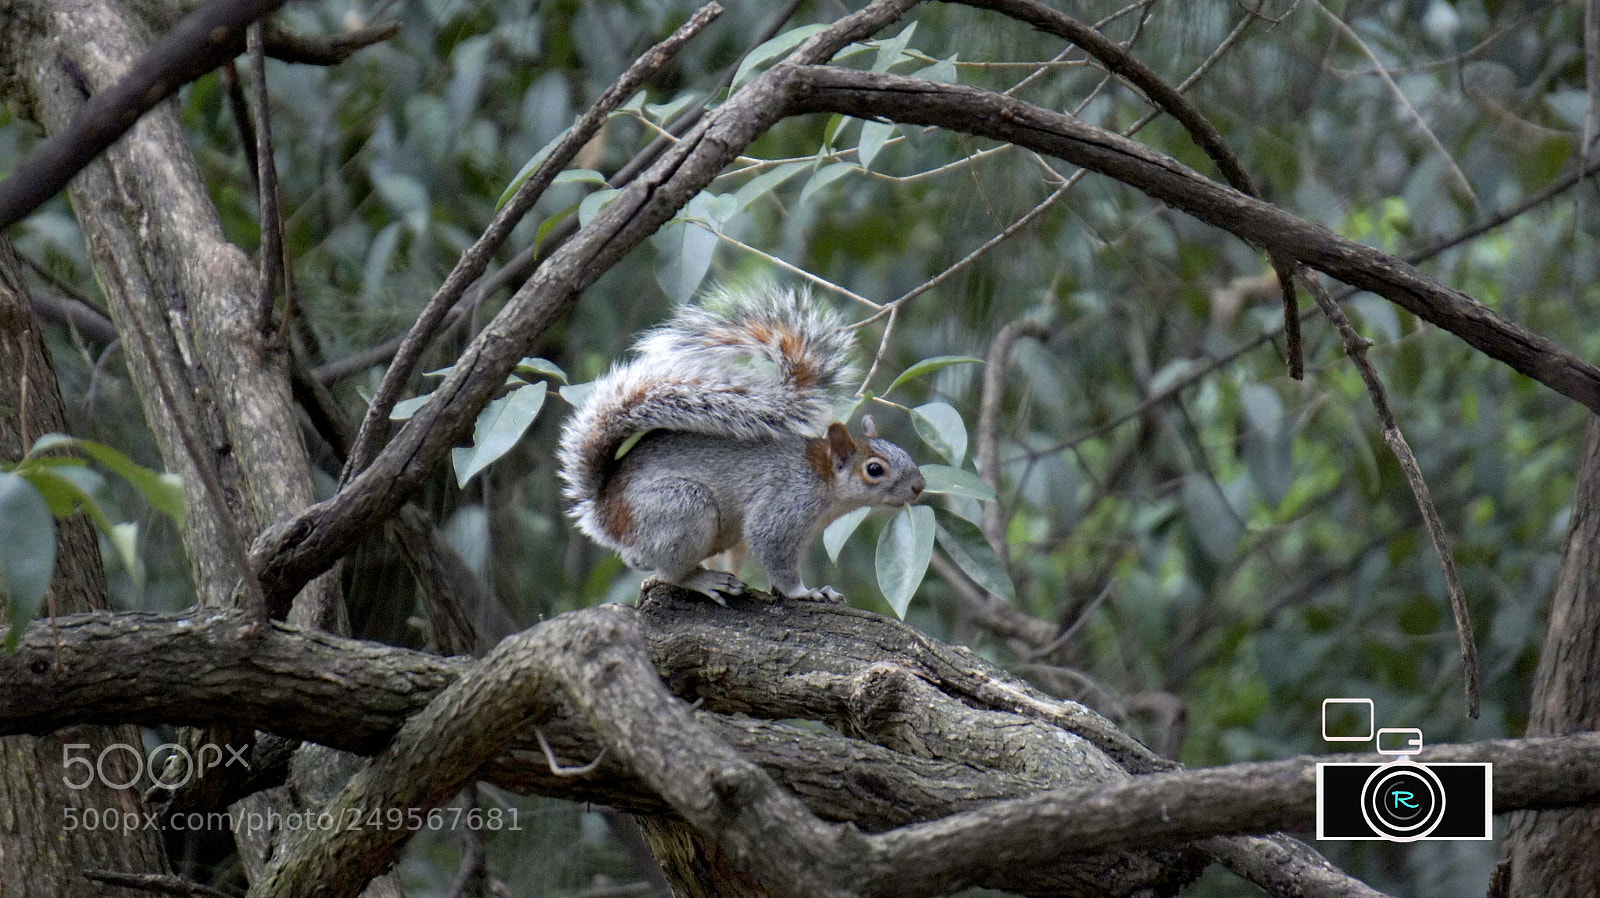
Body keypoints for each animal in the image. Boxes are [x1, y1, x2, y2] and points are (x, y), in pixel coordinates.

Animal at [557, 284, 926, 602]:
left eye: (903, 452)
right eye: (874, 469)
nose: (920, 486)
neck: (820, 477)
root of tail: (604, 510)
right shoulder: (782, 510)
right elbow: (774, 556)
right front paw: (806, 593)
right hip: (680, 508)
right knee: (666, 571)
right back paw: (704, 580)